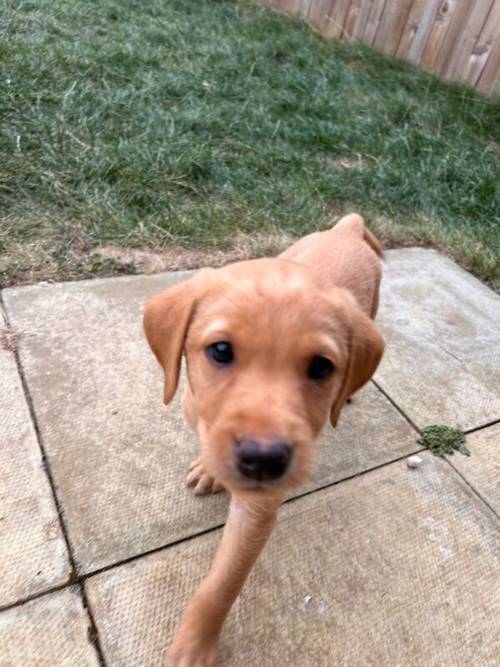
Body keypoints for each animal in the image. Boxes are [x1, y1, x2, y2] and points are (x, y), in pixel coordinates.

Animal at [143, 215, 384, 667]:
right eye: (220, 350)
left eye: (321, 367)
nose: (263, 459)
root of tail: (348, 226)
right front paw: (209, 469)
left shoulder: (258, 508)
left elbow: (220, 586)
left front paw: (193, 648)